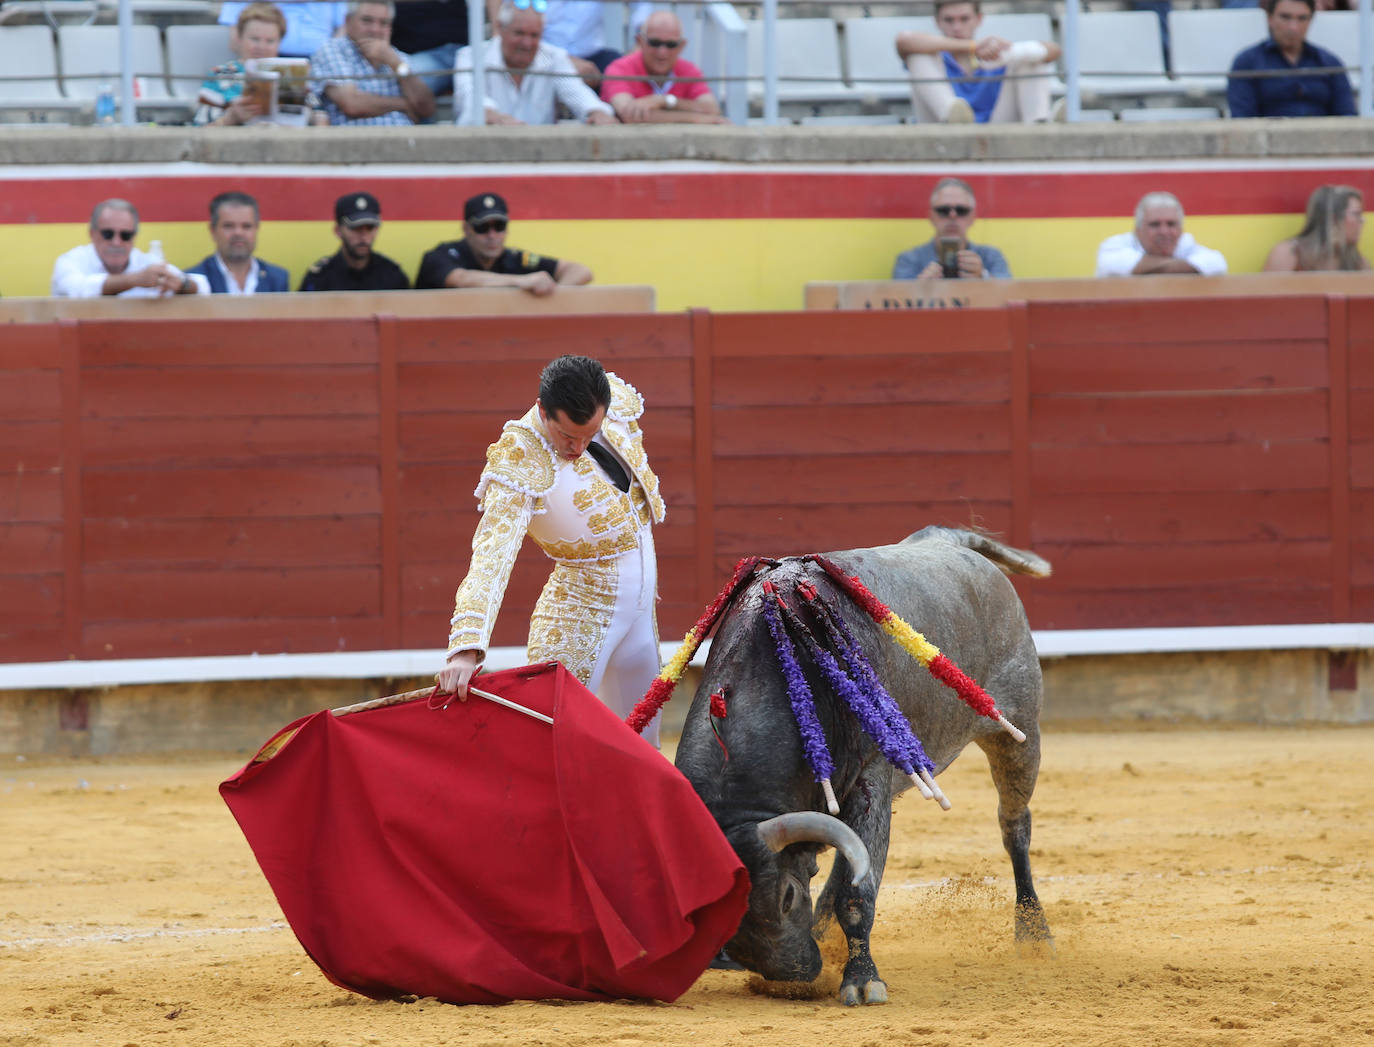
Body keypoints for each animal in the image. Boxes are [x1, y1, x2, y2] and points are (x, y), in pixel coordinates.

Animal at [673, 530, 1049, 1005]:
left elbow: (857, 896)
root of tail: (948, 538)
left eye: (787, 897)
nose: (793, 978)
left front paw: (862, 979)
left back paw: (1034, 934)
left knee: (1014, 825)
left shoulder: (870, 778)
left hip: (1018, 731)